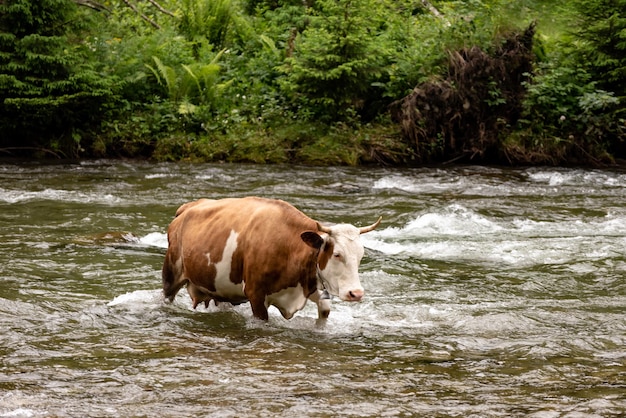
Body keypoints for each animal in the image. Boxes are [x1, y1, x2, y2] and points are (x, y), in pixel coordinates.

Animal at [160, 198, 380, 322]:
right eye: (337, 254)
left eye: (361, 255)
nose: (356, 293)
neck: (287, 245)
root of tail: (186, 209)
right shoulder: (255, 294)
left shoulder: (306, 283)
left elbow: (325, 309)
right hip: (171, 275)